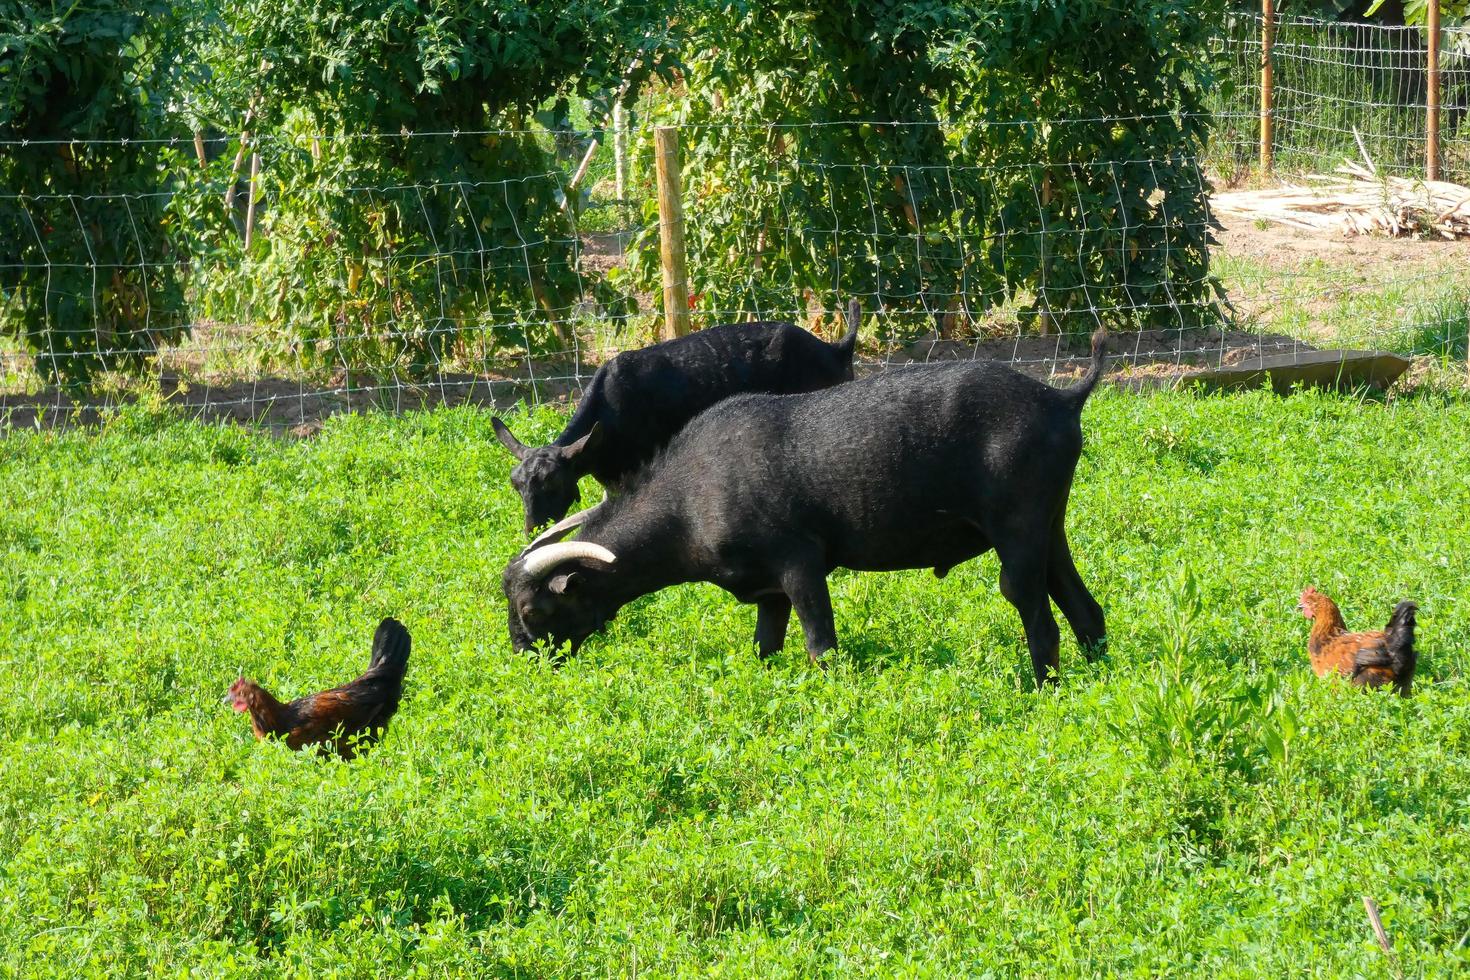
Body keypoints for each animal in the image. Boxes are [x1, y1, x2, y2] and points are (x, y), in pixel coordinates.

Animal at [499, 333, 1105, 687]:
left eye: (533, 610)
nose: (525, 660)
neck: (689, 501)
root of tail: (1063, 398)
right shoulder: (768, 590)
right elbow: (766, 648)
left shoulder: (800, 564)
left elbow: (822, 647)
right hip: (1048, 528)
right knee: (1085, 609)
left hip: (1018, 532)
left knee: (1037, 615)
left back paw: (1041, 691)